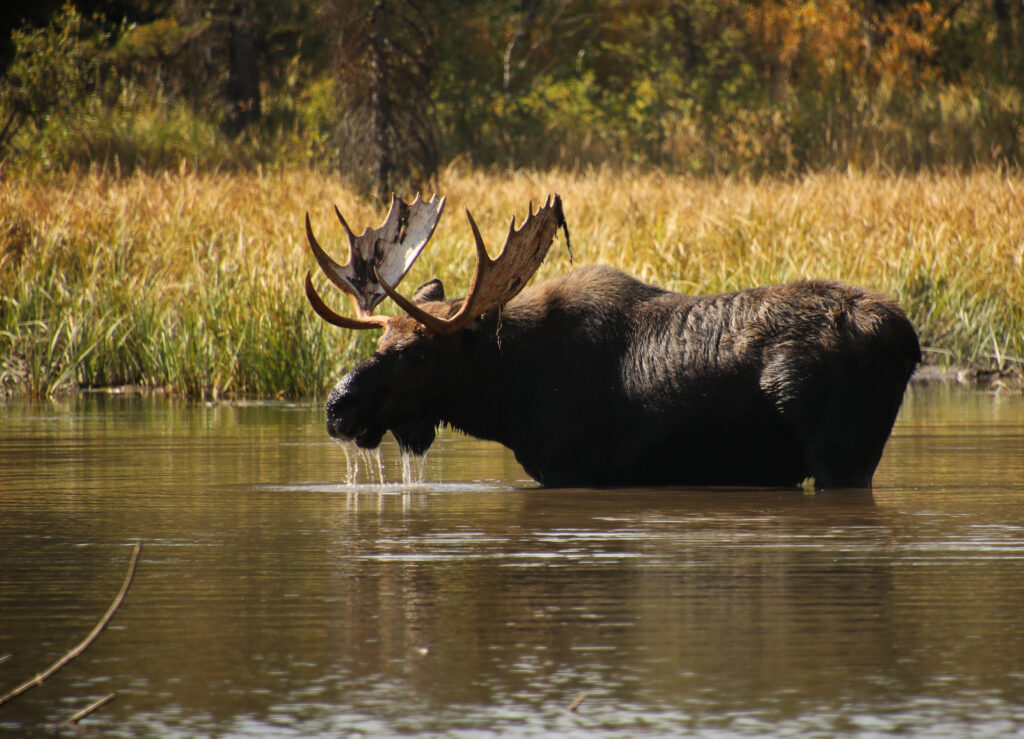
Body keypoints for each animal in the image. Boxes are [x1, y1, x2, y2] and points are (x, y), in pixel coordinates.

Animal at [301, 192, 921, 487]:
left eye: (418, 351)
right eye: (379, 346)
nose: (338, 407)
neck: (507, 399)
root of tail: (908, 339)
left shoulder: (570, 469)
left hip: (844, 457)